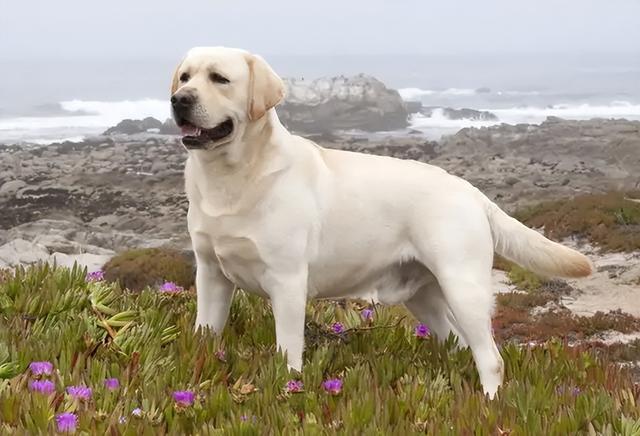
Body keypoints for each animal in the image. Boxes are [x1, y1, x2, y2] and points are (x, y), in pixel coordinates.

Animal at [170, 46, 592, 396]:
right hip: (425, 297)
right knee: (458, 343)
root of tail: (472, 191)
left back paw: (489, 405)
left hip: (464, 287)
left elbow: (288, 352)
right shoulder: (211, 275)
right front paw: (199, 367)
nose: (179, 100)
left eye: (220, 79)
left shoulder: (287, 282)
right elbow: (205, 333)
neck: (232, 177)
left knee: (492, 358)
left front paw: (289, 385)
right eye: (185, 76)